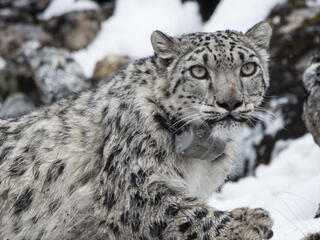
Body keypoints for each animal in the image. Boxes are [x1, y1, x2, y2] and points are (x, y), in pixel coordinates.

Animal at [0, 21, 276, 239]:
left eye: (248, 68)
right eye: (198, 71)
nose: (230, 102)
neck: (200, 162)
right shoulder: (134, 186)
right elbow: (179, 212)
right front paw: (249, 222)